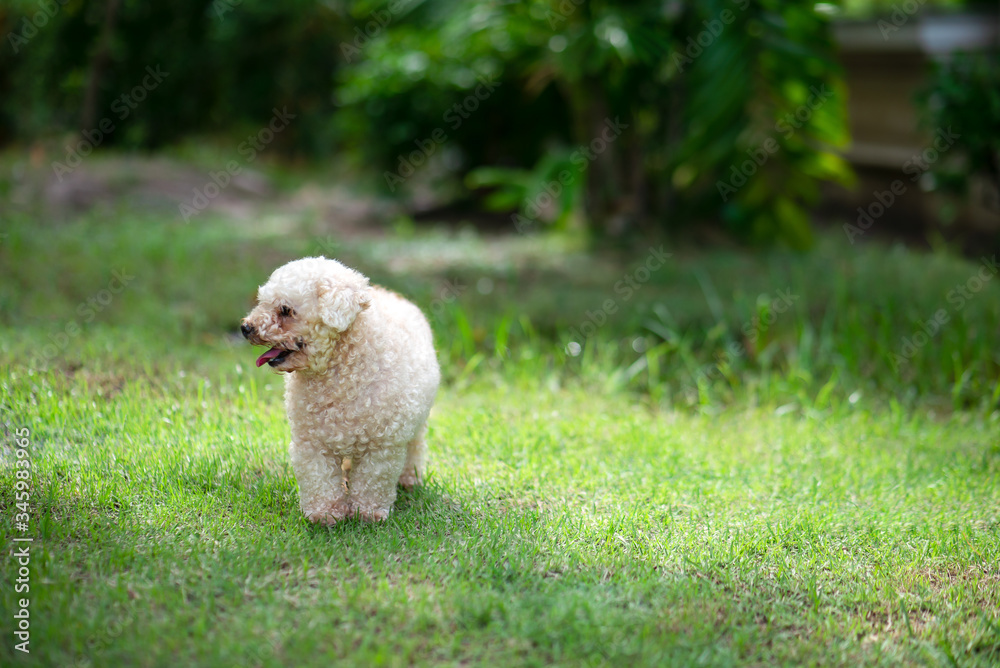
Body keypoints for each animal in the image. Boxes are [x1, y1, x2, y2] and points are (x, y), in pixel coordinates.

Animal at [240, 258, 440, 524]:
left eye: (285, 310)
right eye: (261, 301)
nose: (245, 327)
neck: (339, 371)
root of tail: (390, 293)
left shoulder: (381, 444)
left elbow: (372, 481)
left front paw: (367, 513)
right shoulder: (311, 441)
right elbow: (319, 478)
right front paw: (325, 514)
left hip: (415, 424)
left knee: (415, 446)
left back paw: (410, 478)